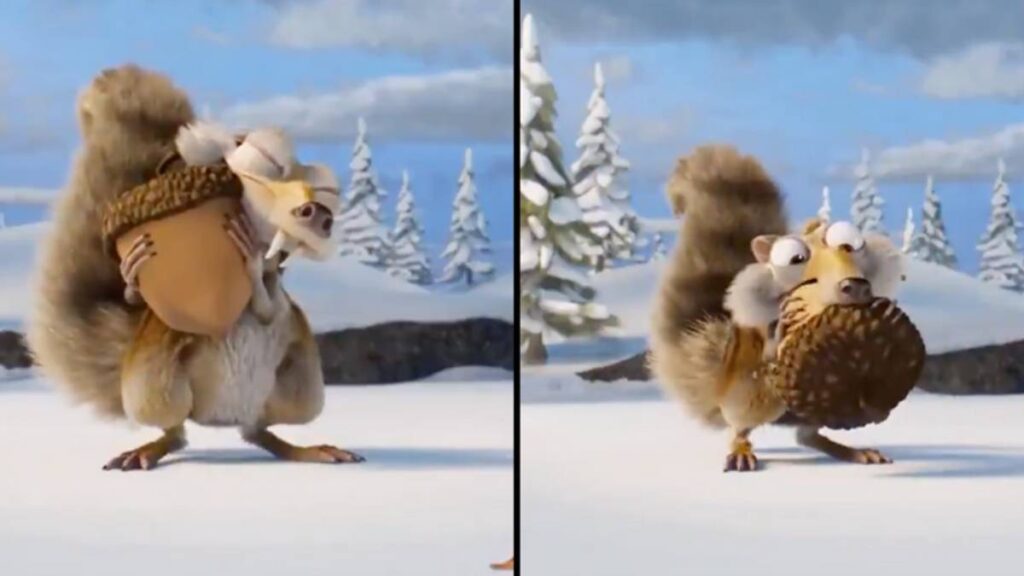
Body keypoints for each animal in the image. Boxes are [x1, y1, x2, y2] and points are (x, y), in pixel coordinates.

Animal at [27, 64, 363, 471]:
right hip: (155, 381)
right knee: (176, 431)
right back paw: (147, 450)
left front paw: (254, 262)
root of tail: (218, 418)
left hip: (301, 388)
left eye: (323, 188)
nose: (322, 216)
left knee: (259, 431)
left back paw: (307, 449)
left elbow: (268, 305)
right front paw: (132, 275)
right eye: (261, 157)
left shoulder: (275, 291)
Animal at [648, 145, 904, 472]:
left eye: (849, 245)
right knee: (744, 420)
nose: (855, 286)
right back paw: (741, 445)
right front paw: (776, 340)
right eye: (795, 259)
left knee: (808, 435)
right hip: (742, 390)